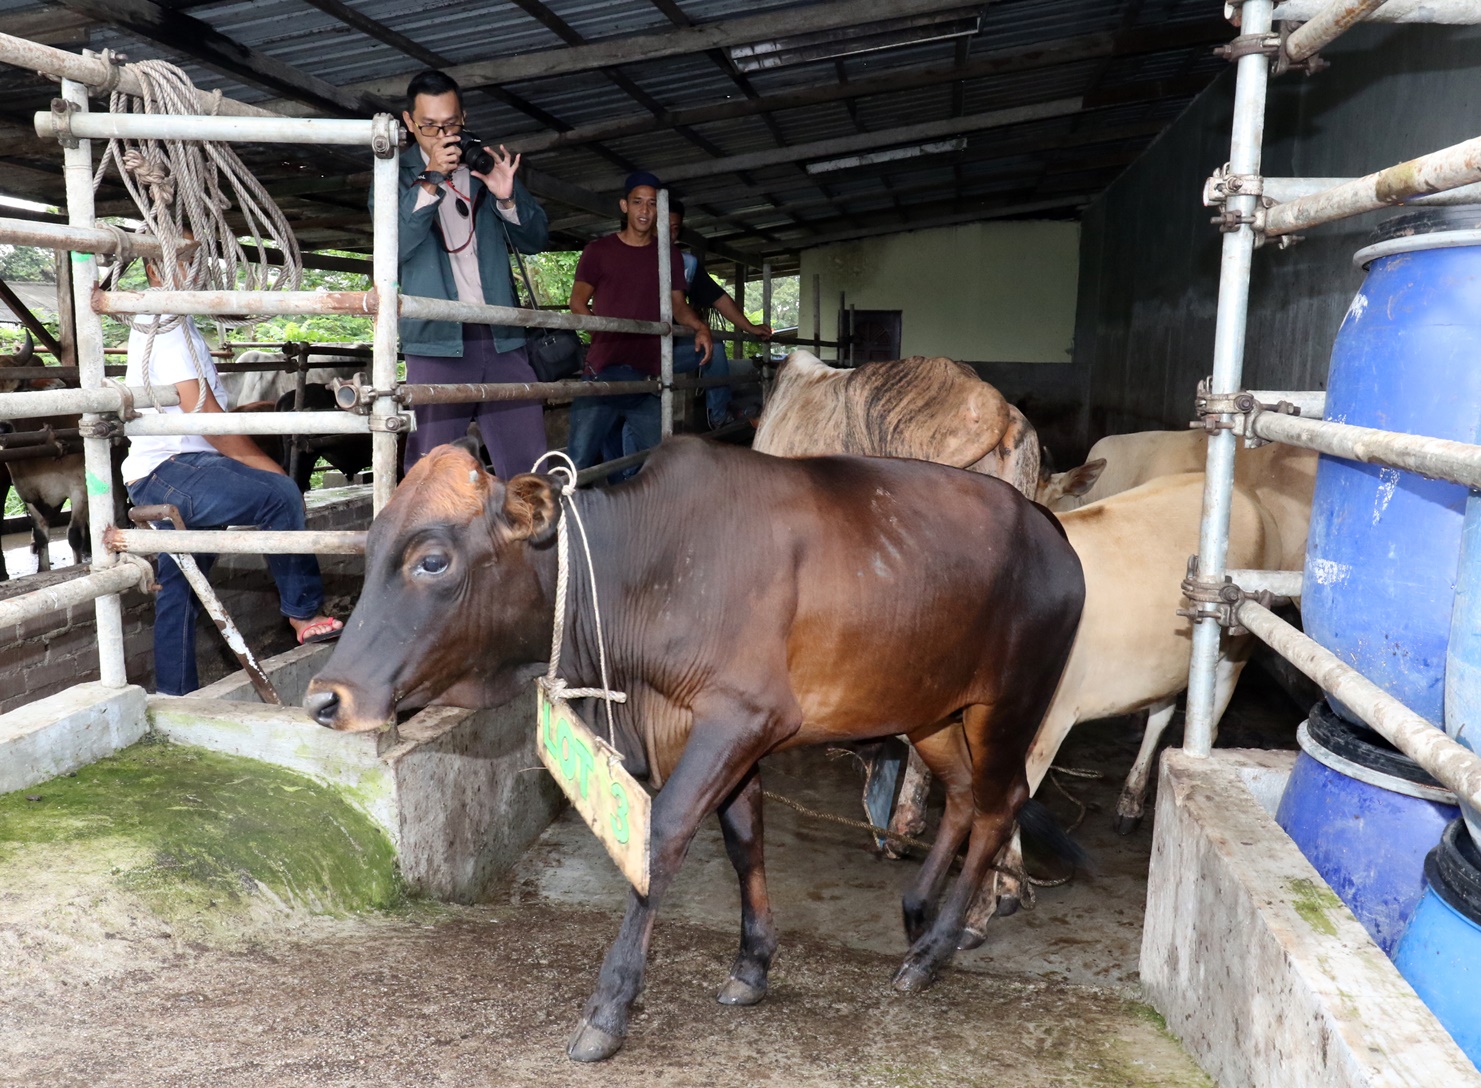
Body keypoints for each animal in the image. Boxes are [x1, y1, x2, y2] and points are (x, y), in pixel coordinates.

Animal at [303, 435, 1090, 1065]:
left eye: (433, 561)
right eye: (368, 550)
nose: (324, 698)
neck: (643, 575)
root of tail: (1047, 525)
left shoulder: (743, 717)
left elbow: (662, 837)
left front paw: (609, 1008)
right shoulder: (730, 734)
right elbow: (744, 842)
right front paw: (752, 965)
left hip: (1009, 703)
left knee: (999, 804)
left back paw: (931, 954)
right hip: (931, 706)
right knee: (960, 796)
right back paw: (917, 912)